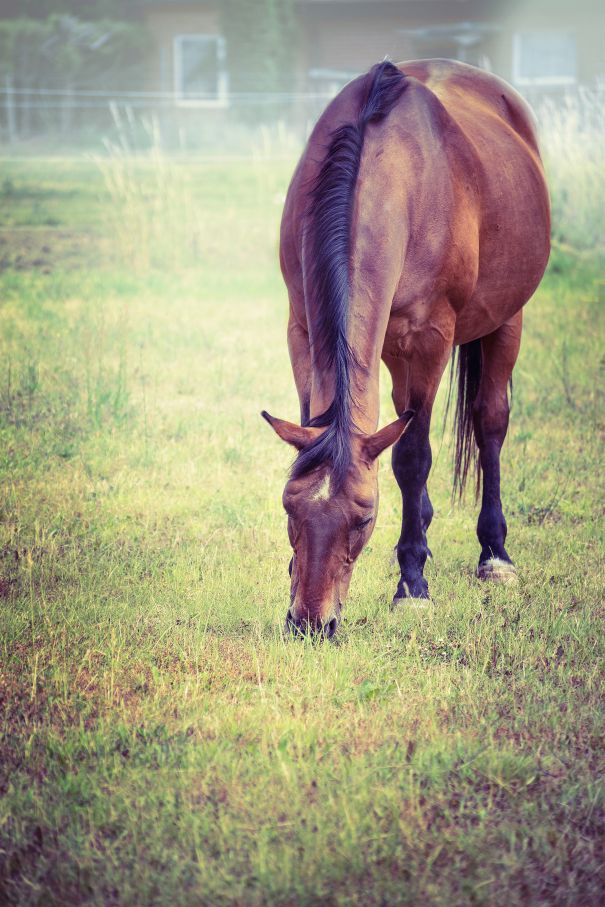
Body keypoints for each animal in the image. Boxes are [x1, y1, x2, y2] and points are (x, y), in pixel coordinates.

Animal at [262, 58, 548, 640]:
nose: (311, 624)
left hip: (506, 320)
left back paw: (495, 556)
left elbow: (413, 458)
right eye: (288, 510)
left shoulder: (429, 339)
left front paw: (411, 585)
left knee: (490, 421)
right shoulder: (301, 329)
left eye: (365, 517)